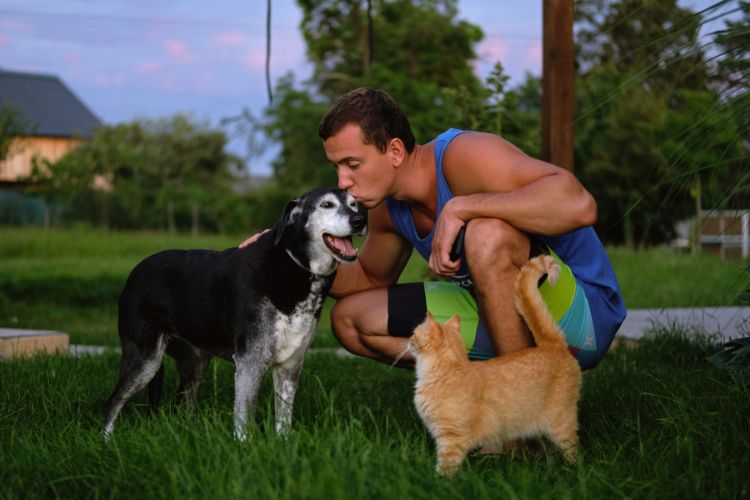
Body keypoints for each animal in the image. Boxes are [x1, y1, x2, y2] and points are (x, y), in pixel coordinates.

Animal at [103, 188, 368, 442]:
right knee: (113, 401)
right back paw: (107, 440)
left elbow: (283, 417)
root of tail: (134, 272)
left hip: (196, 362)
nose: (360, 220)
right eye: (326, 205)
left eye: (354, 204)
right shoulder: (250, 361)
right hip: (145, 359)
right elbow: (244, 417)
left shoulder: (290, 365)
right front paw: (244, 446)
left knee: (181, 401)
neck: (295, 265)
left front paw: (284, 445)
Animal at [412, 256, 580, 478]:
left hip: (561, 425)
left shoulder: (451, 439)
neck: (448, 370)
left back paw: (571, 472)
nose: (408, 340)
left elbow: (445, 468)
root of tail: (551, 344)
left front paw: (437, 480)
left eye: (414, 333)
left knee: (572, 450)